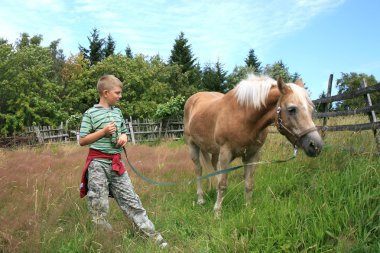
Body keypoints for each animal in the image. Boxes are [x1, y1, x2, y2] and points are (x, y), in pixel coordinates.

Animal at [184, 74, 324, 215]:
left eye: (312, 109)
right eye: (291, 109)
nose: (316, 145)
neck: (243, 116)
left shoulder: (252, 155)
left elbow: (249, 184)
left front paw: (248, 210)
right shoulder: (225, 153)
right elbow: (222, 184)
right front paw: (217, 212)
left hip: (214, 152)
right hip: (193, 145)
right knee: (198, 170)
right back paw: (201, 199)